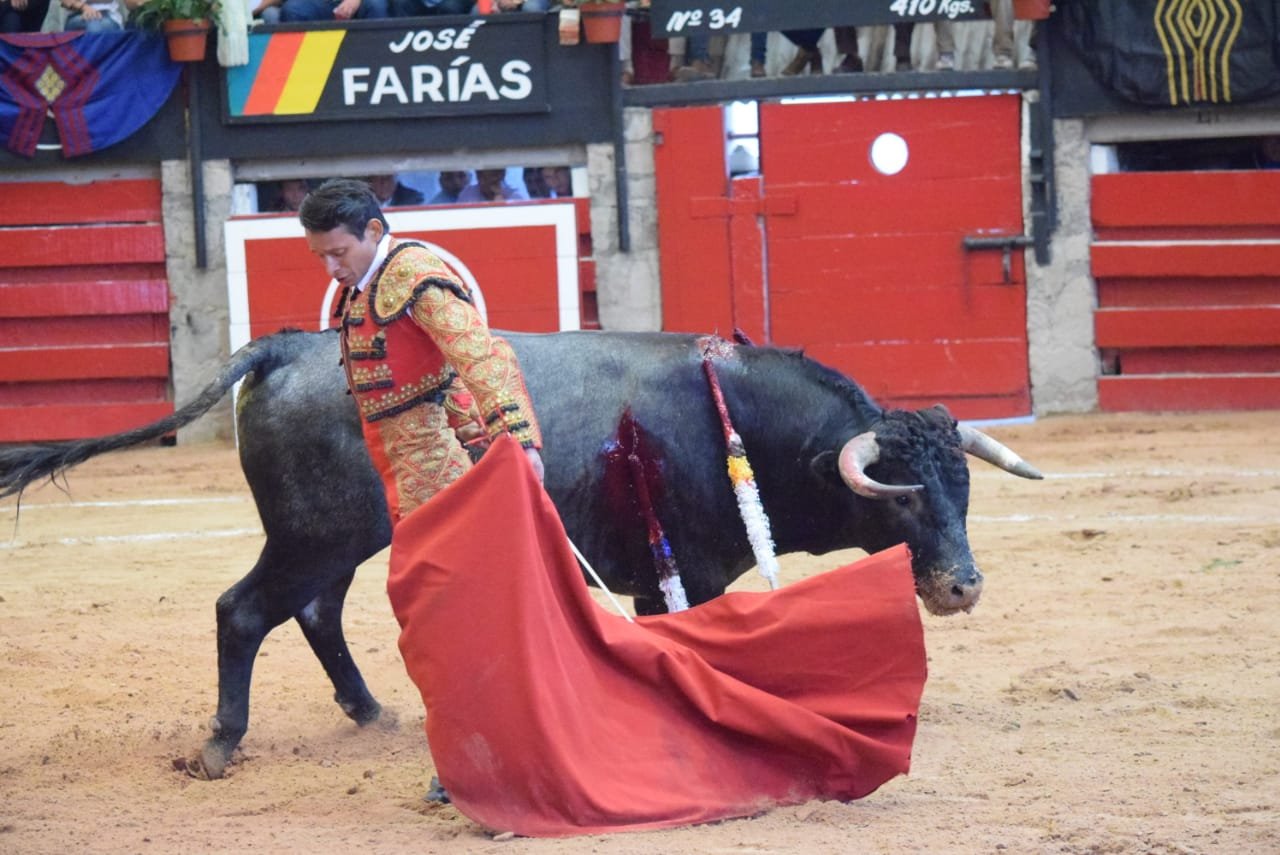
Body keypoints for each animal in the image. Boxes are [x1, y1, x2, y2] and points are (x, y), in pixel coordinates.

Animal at [0, 328, 1041, 778]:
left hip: (337, 536)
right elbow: (694, 647)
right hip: (313, 533)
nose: (963, 585)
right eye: (903, 501)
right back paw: (221, 743)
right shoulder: (688, 571)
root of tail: (290, 345)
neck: (741, 421)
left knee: (313, 610)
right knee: (246, 609)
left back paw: (371, 710)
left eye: (963, 489)